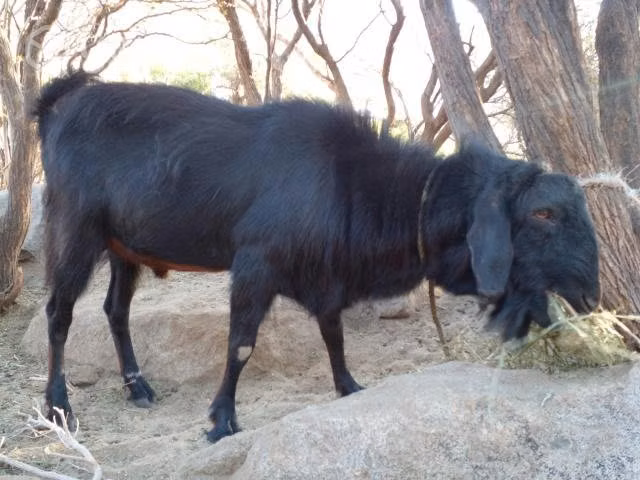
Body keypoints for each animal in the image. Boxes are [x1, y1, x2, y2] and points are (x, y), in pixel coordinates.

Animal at [34, 72, 600, 443]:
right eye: (544, 213)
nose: (591, 292)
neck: (347, 179)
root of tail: (59, 104)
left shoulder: (326, 276)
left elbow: (334, 334)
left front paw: (349, 386)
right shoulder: (256, 264)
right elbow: (241, 344)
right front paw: (221, 420)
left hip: (123, 247)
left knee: (115, 311)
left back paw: (138, 387)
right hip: (75, 231)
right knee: (59, 313)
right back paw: (59, 404)